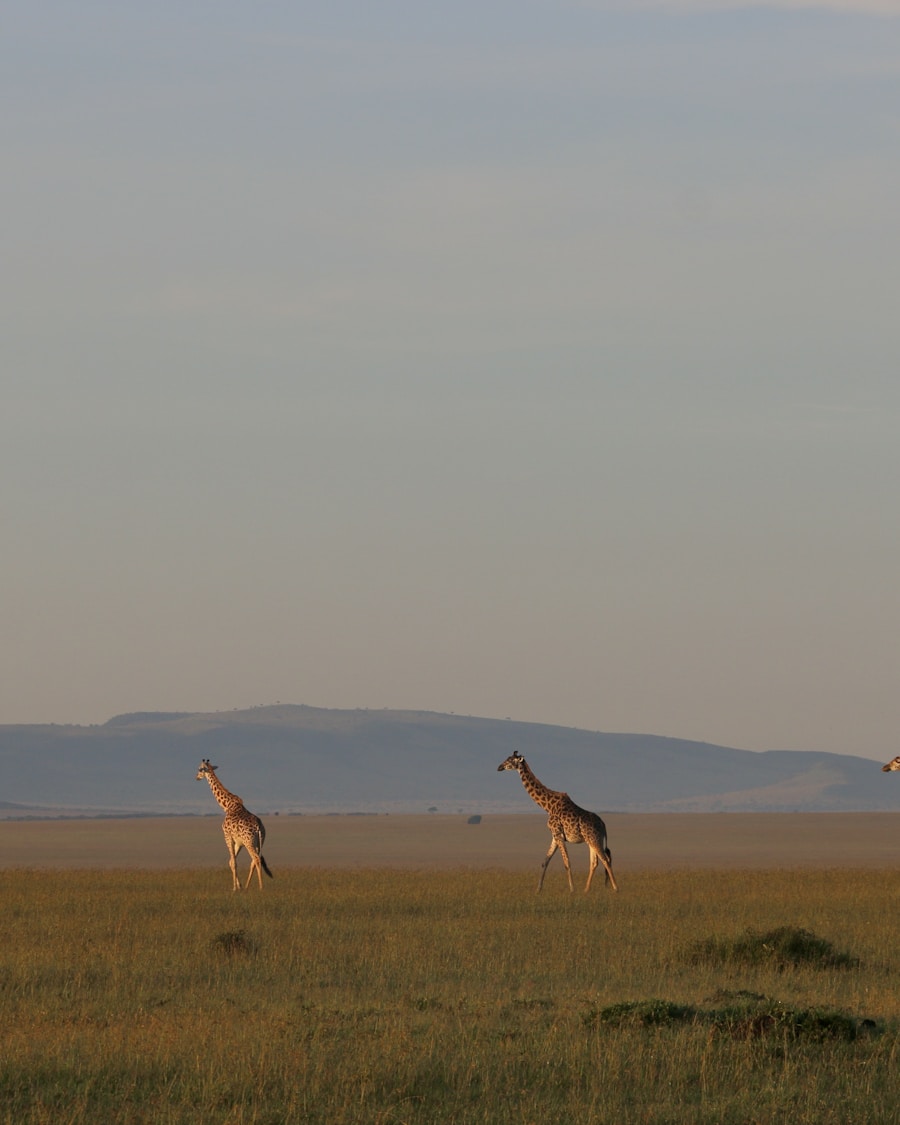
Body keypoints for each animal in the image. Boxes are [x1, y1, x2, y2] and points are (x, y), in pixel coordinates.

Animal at [196, 759, 273, 890]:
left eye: (200, 769)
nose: (196, 777)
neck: (227, 806)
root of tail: (258, 827)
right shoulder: (238, 842)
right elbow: (231, 862)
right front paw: (240, 886)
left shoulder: (227, 836)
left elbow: (233, 862)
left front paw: (234, 888)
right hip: (260, 841)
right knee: (254, 860)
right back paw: (247, 886)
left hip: (249, 841)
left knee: (256, 859)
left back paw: (261, 887)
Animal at [497, 750, 617, 893]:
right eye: (507, 758)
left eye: (510, 760)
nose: (499, 767)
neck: (548, 806)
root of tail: (603, 825)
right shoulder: (555, 836)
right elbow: (545, 861)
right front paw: (538, 889)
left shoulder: (558, 834)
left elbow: (567, 862)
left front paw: (572, 890)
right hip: (591, 840)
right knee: (594, 862)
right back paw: (586, 890)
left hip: (594, 839)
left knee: (605, 859)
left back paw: (616, 888)